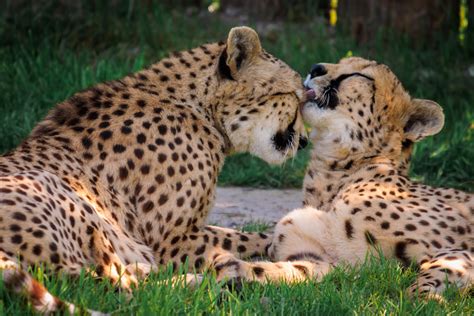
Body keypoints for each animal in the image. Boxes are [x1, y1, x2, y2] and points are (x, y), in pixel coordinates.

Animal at [0, 25, 308, 312]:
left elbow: (247, 234)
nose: (304, 141)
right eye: (294, 96)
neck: (199, 109)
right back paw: (212, 285)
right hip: (69, 197)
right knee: (122, 290)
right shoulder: (171, 241)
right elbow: (250, 241)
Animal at [209, 56, 472, 298]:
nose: (315, 68)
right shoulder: (332, 261)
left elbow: (434, 273)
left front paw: (424, 299)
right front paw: (229, 266)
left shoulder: (454, 249)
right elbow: (254, 244)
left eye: (358, 75)